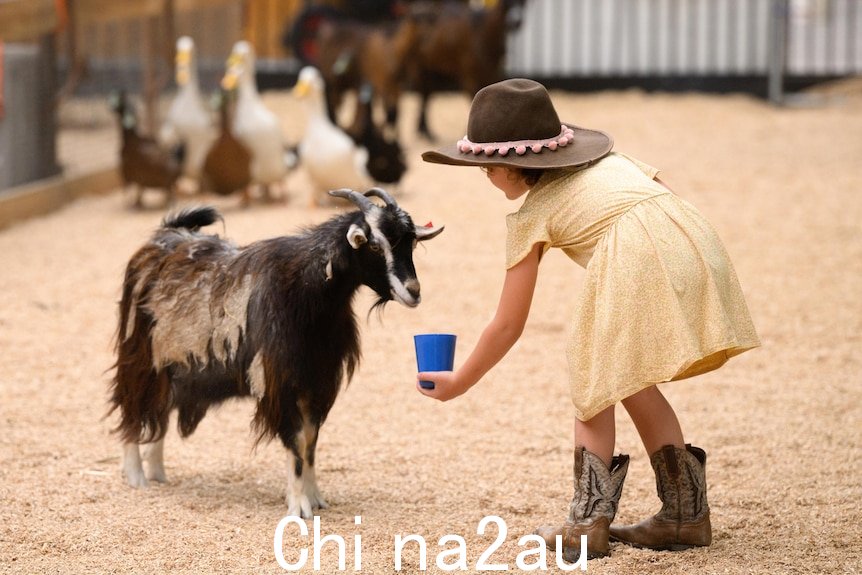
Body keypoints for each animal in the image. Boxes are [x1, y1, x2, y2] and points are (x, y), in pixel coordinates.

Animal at [109, 189, 446, 516]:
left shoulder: (317, 381)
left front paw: (316, 498)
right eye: (375, 246)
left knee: (160, 412)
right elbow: (296, 442)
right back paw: (136, 476)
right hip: (139, 360)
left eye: (411, 242)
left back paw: (158, 473)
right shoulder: (280, 383)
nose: (413, 292)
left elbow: (310, 443)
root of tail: (163, 236)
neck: (308, 292)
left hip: (173, 368)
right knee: (132, 408)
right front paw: (299, 507)